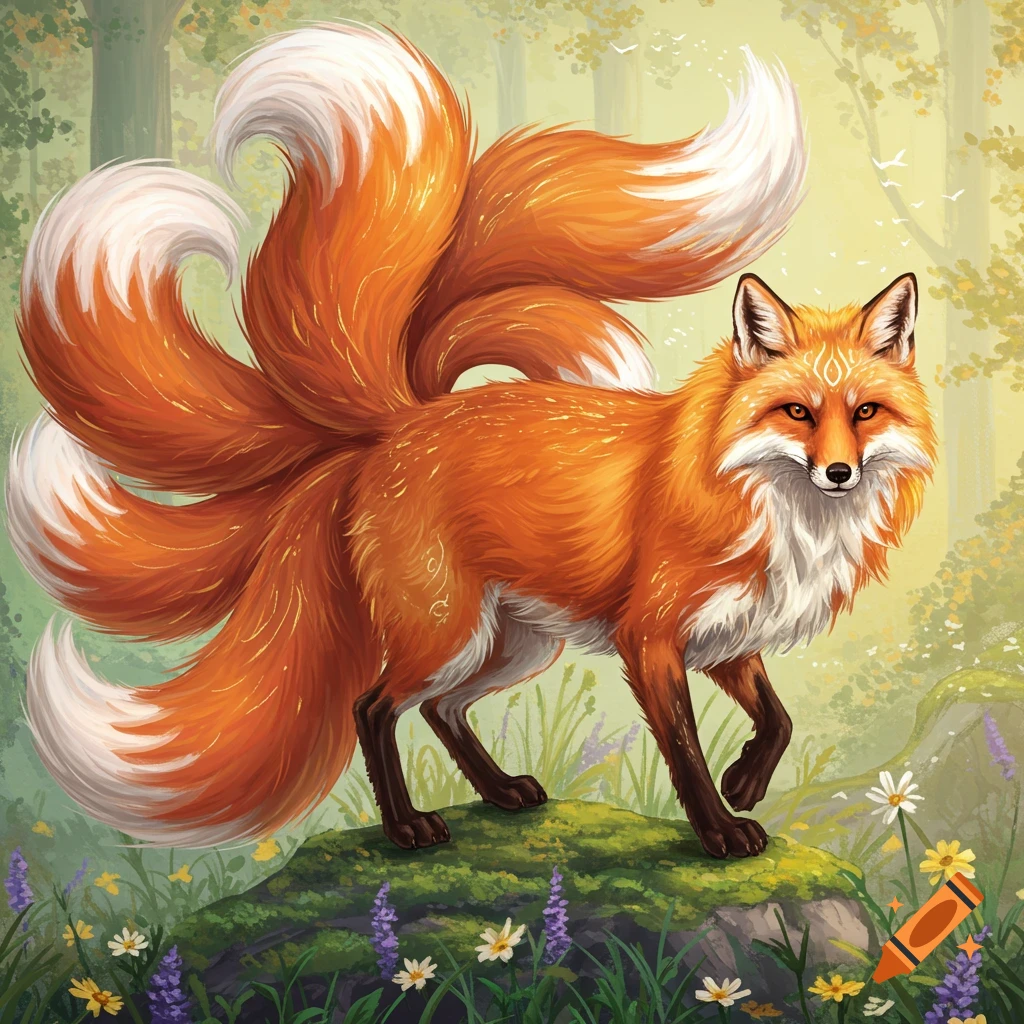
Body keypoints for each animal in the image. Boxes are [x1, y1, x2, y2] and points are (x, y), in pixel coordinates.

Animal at [5, 23, 936, 860]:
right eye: (796, 413)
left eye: (864, 413)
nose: (840, 472)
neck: (779, 516)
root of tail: (403, 419)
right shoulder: (652, 638)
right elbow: (683, 752)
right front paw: (718, 829)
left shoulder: (728, 635)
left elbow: (777, 720)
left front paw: (748, 779)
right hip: (449, 631)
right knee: (375, 707)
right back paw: (407, 829)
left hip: (512, 642)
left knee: (437, 709)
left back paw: (499, 792)